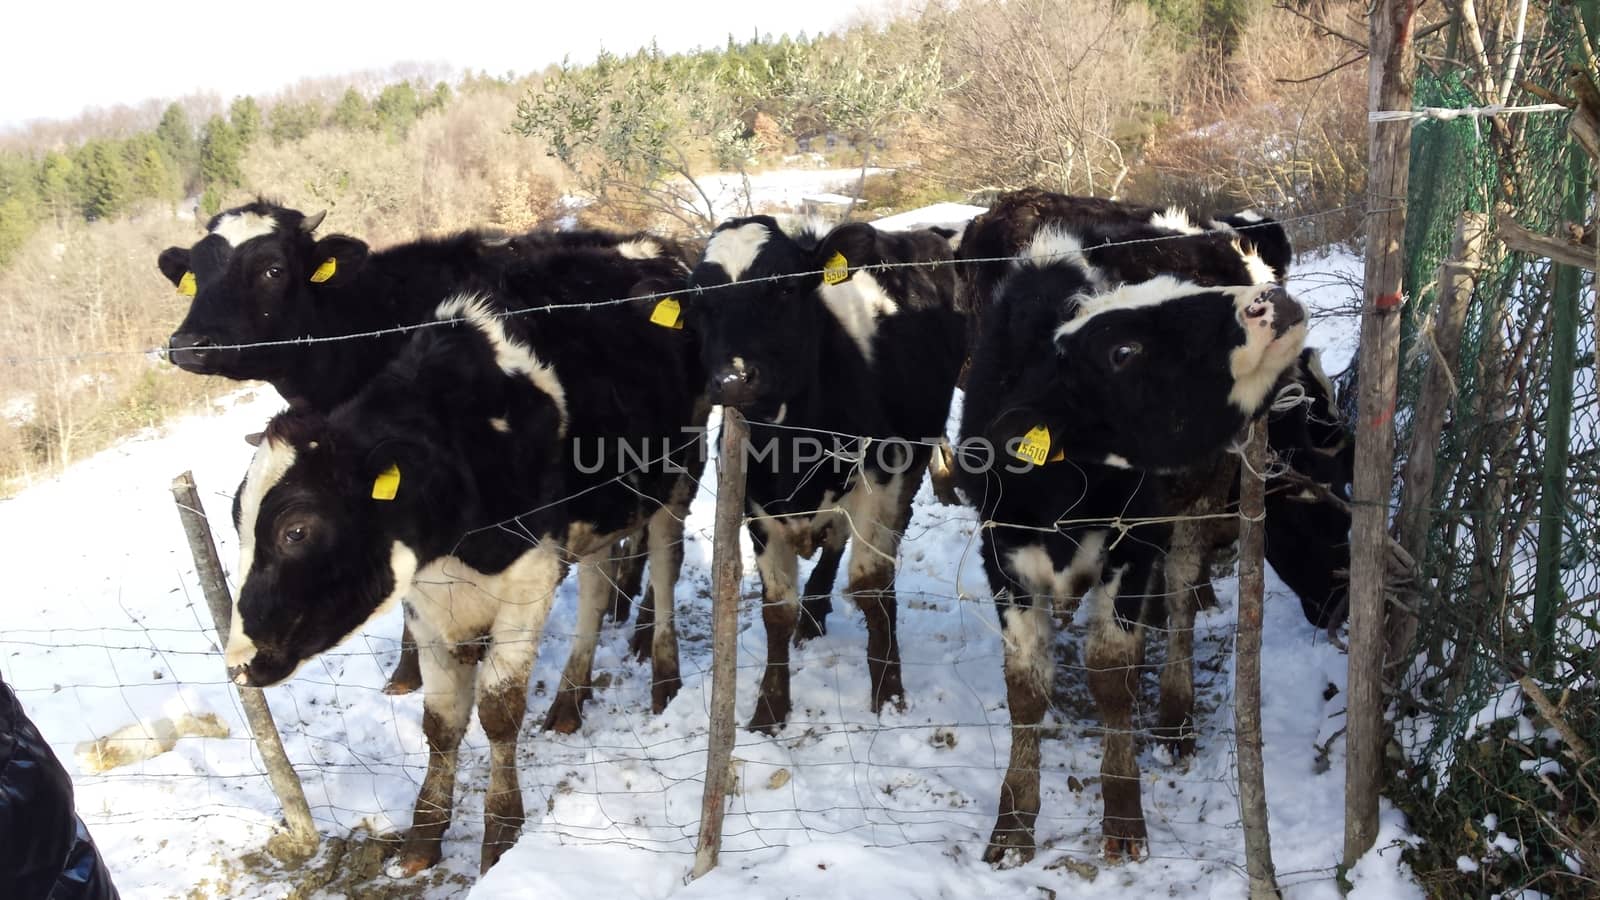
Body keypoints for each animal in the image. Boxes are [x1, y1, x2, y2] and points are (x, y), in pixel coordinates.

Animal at [224, 243, 707, 871]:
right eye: (236, 522)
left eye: (296, 531)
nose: (238, 662)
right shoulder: (428, 601)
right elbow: (442, 721)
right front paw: (424, 835)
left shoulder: (529, 577)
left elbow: (498, 713)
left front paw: (500, 833)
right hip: (599, 514)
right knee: (598, 588)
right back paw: (570, 699)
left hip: (678, 473)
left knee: (666, 564)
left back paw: (664, 678)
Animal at [953, 190, 1305, 864]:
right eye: (1123, 352)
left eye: (1187, 291)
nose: (1269, 302)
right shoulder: (1001, 551)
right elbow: (1025, 685)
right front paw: (1013, 822)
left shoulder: (1135, 541)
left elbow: (1112, 675)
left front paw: (1121, 814)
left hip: (1203, 495)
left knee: (1182, 593)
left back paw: (1174, 713)